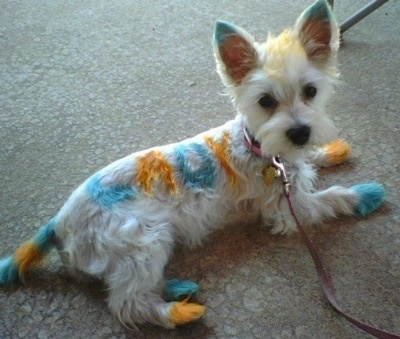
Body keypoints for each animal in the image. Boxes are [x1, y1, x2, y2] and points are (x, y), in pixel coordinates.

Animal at [0, 0, 388, 330]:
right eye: (265, 101)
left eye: (310, 91)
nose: (299, 132)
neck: (262, 149)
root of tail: (59, 222)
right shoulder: (289, 208)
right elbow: (331, 197)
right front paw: (364, 193)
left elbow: (311, 160)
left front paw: (331, 150)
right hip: (144, 241)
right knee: (127, 302)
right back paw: (180, 312)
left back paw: (178, 288)